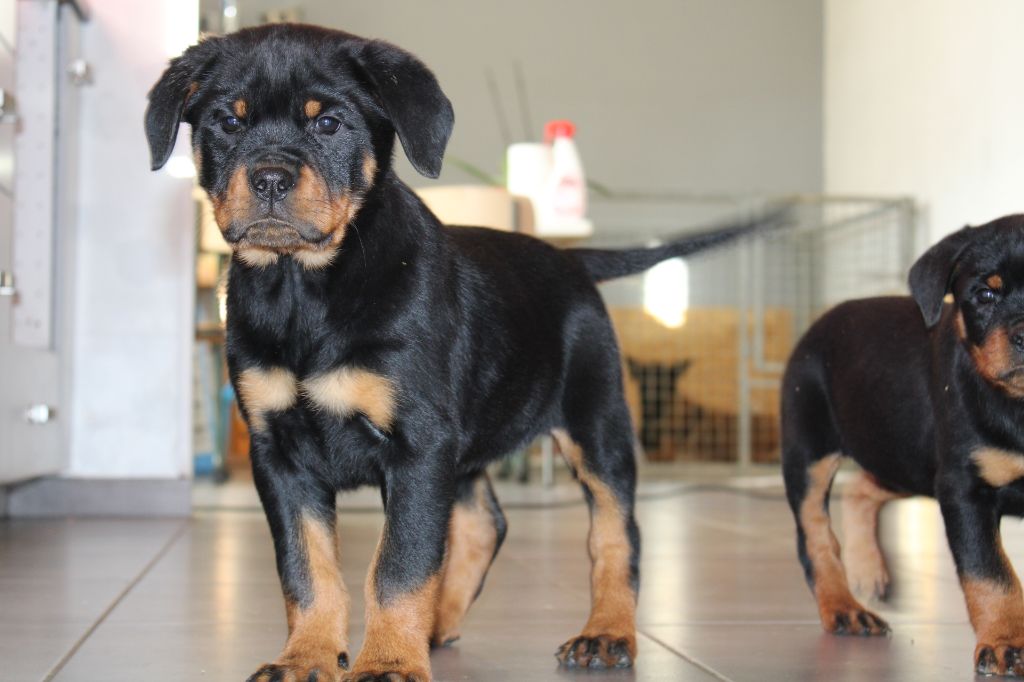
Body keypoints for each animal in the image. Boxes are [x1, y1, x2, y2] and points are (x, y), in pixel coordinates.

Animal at [146, 22, 782, 679]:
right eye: (228, 121)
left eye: (329, 125)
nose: (270, 177)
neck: (305, 288)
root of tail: (570, 259)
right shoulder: (280, 453)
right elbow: (307, 568)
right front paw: (308, 656)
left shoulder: (419, 444)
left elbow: (399, 564)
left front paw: (388, 662)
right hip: (472, 439)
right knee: (486, 523)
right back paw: (438, 626)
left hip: (596, 426)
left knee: (615, 532)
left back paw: (605, 633)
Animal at [782, 214, 1024, 675]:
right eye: (984, 295)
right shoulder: (964, 488)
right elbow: (989, 572)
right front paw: (1005, 642)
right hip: (810, 450)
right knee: (815, 535)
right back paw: (844, 607)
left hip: (903, 458)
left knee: (861, 490)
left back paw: (867, 569)